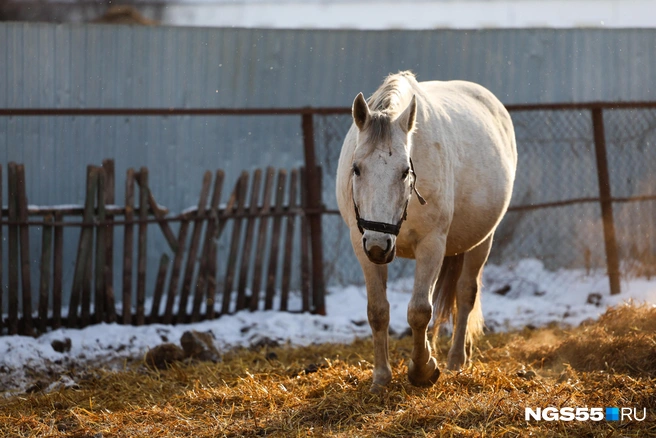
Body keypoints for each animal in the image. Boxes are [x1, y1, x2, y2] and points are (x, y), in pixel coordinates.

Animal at [336, 71, 517, 393]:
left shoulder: (432, 244)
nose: (379, 246)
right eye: (356, 169)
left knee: (465, 294)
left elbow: (420, 311)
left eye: (404, 172)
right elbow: (377, 311)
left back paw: (456, 360)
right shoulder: (362, 244)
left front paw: (423, 369)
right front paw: (381, 377)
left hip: (482, 241)